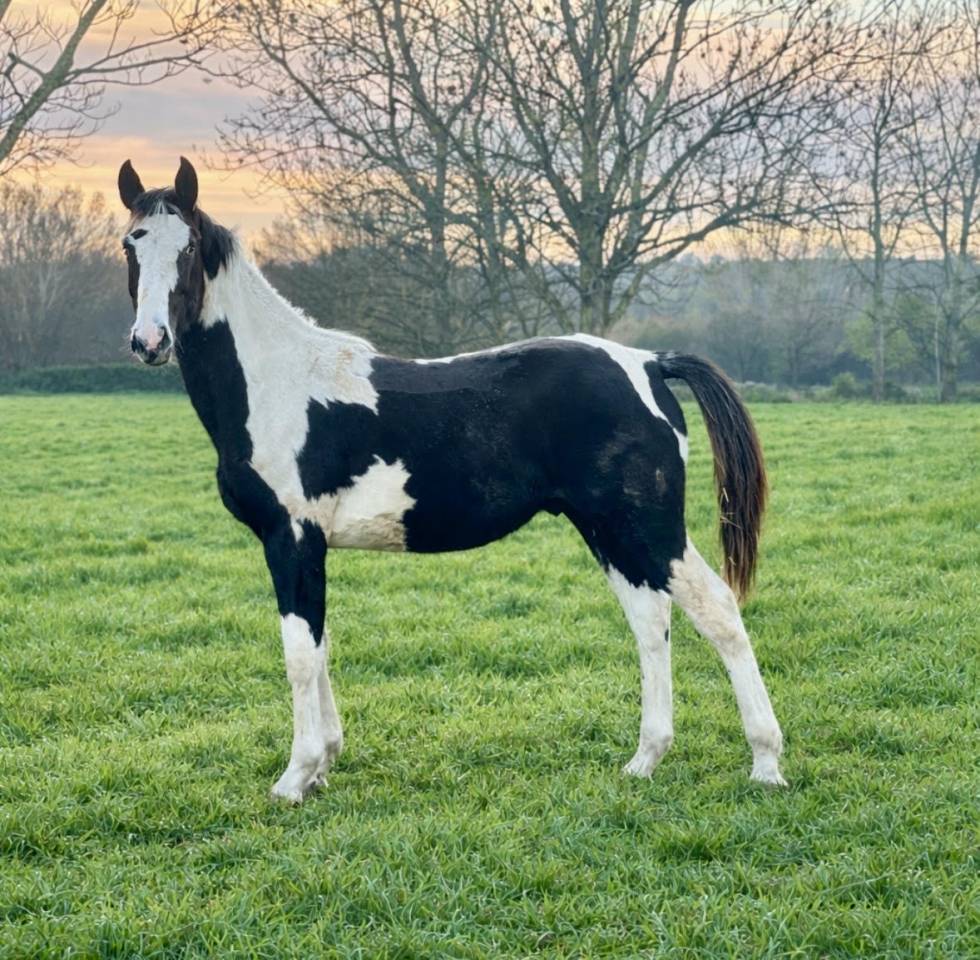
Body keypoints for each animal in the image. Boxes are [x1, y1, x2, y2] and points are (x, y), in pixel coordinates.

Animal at [117, 157, 786, 802]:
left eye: (187, 248)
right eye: (130, 244)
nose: (149, 342)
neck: (275, 382)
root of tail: (648, 364)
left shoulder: (293, 538)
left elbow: (300, 654)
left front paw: (295, 777)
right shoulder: (310, 548)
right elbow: (321, 644)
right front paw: (324, 766)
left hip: (647, 528)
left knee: (719, 611)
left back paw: (766, 763)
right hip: (610, 532)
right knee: (652, 624)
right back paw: (645, 761)